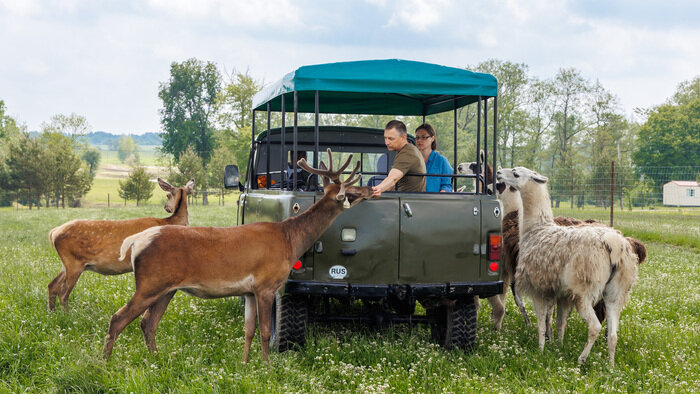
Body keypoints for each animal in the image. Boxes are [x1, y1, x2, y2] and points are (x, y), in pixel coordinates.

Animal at [48, 179, 194, 310]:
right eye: (167, 195)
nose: (166, 207)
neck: (169, 222)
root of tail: (53, 232)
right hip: (74, 262)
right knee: (63, 293)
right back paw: (66, 315)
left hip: (67, 264)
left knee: (52, 285)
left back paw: (52, 312)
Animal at [102, 150, 374, 364]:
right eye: (350, 190)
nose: (370, 189)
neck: (289, 239)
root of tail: (136, 240)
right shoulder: (265, 285)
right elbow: (264, 331)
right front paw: (267, 367)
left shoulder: (249, 291)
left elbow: (248, 330)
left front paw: (244, 365)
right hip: (150, 283)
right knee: (118, 318)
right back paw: (105, 363)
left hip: (166, 289)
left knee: (148, 323)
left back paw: (157, 361)